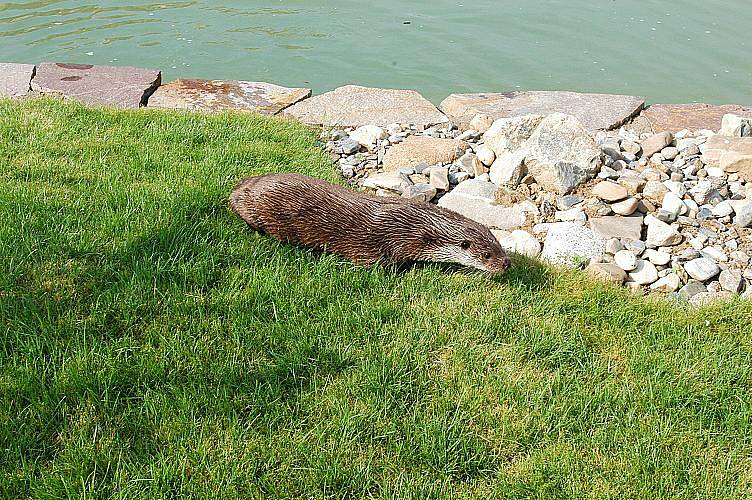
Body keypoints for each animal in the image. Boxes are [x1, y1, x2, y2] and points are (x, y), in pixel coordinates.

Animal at [229, 172, 512, 274]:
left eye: (500, 246)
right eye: (487, 255)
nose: (507, 264)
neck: (413, 227)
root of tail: (238, 190)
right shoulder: (378, 245)